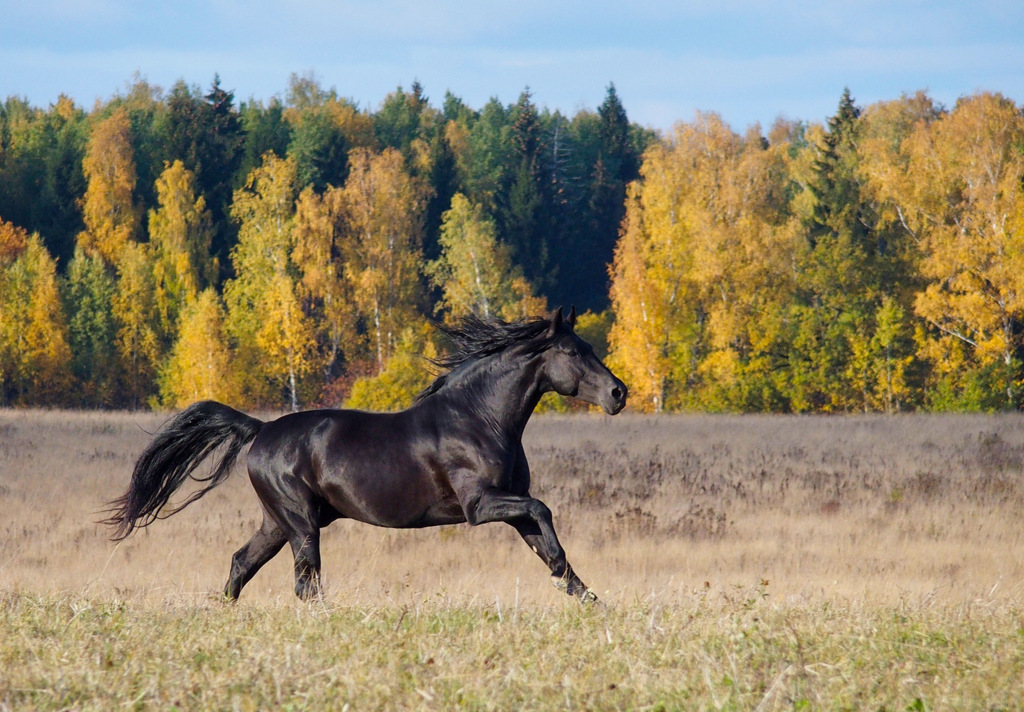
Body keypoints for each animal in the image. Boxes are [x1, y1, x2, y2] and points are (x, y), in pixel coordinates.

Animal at [108, 309, 626, 602]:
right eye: (572, 351)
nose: (619, 393)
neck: (479, 417)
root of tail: (261, 430)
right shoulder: (480, 505)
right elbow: (543, 510)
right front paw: (565, 578)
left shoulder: (509, 506)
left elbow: (543, 535)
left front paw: (585, 596)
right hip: (300, 522)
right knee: (306, 582)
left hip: (277, 521)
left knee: (242, 563)